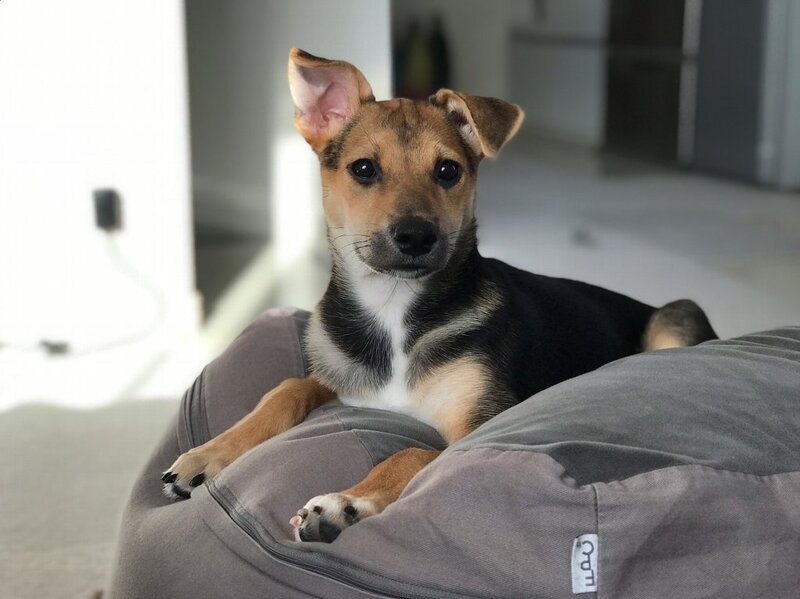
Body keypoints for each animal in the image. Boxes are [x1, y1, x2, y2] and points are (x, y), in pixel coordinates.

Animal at [162, 48, 716, 543]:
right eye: (363, 169)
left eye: (448, 171)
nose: (415, 237)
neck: (394, 309)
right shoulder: (340, 378)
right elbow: (287, 388)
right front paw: (205, 455)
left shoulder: (479, 425)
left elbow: (410, 453)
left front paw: (345, 503)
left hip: (676, 315)